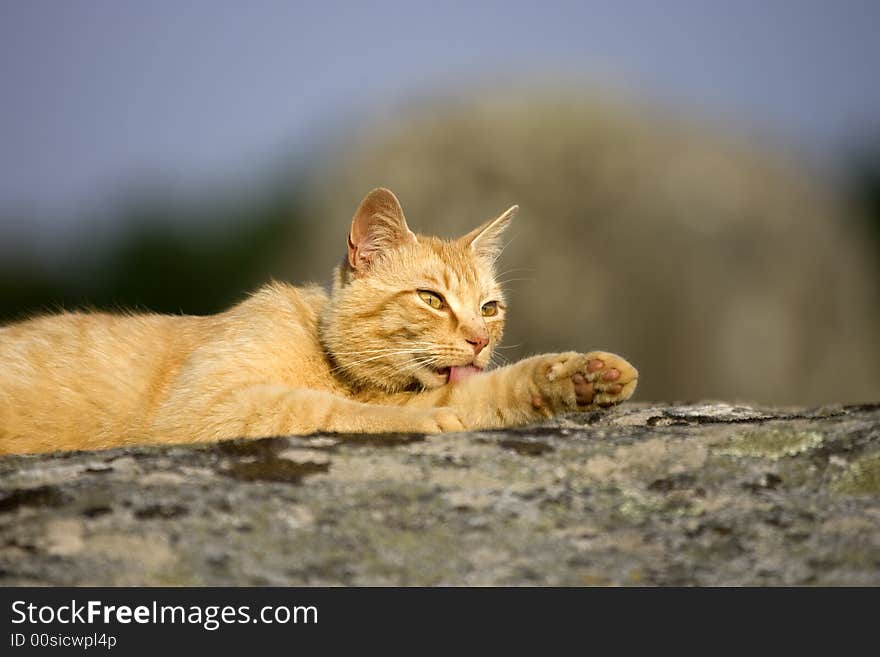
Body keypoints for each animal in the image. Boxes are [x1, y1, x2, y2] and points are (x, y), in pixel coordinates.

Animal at [0, 188, 632, 456]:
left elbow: (482, 395)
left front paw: (580, 376)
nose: (479, 341)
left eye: (489, 309)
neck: (330, 361)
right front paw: (412, 423)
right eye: (431, 299)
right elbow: (323, 411)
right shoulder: (201, 408)